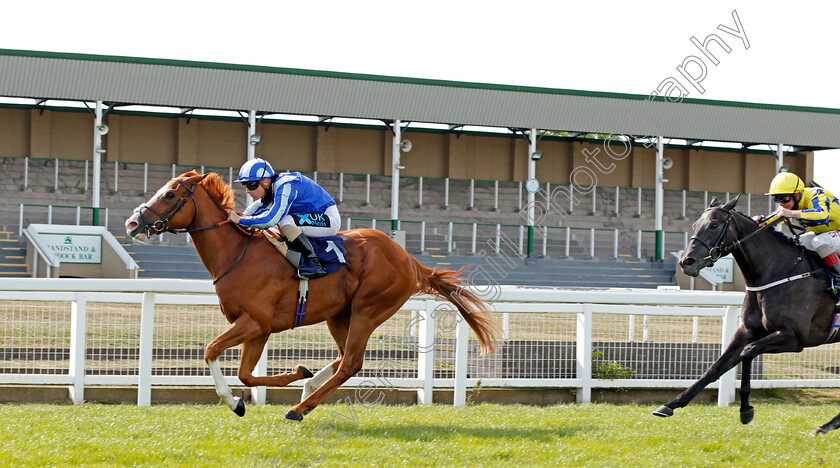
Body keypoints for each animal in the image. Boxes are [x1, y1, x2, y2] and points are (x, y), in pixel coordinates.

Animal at [124, 171, 498, 420]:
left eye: (170, 194)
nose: (131, 223)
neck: (238, 254)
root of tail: (408, 259)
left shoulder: (254, 322)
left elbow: (212, 350)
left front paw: (236, 401)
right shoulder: (258, 328)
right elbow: (245, 373)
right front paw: (286, 379)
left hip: (369, 309)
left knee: (351, 362)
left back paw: (300, 407)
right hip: (340, 313)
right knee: (343, 356)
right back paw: (307, 388)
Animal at [652, 195, 840, 436]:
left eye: (714, 225)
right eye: (694, 224)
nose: (686, 262)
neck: (779, 272)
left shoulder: (794, 337)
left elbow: (747, 353)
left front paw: (745, 409)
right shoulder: (747, 331)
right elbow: (717, 366)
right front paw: (670, 404)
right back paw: (827, 425)